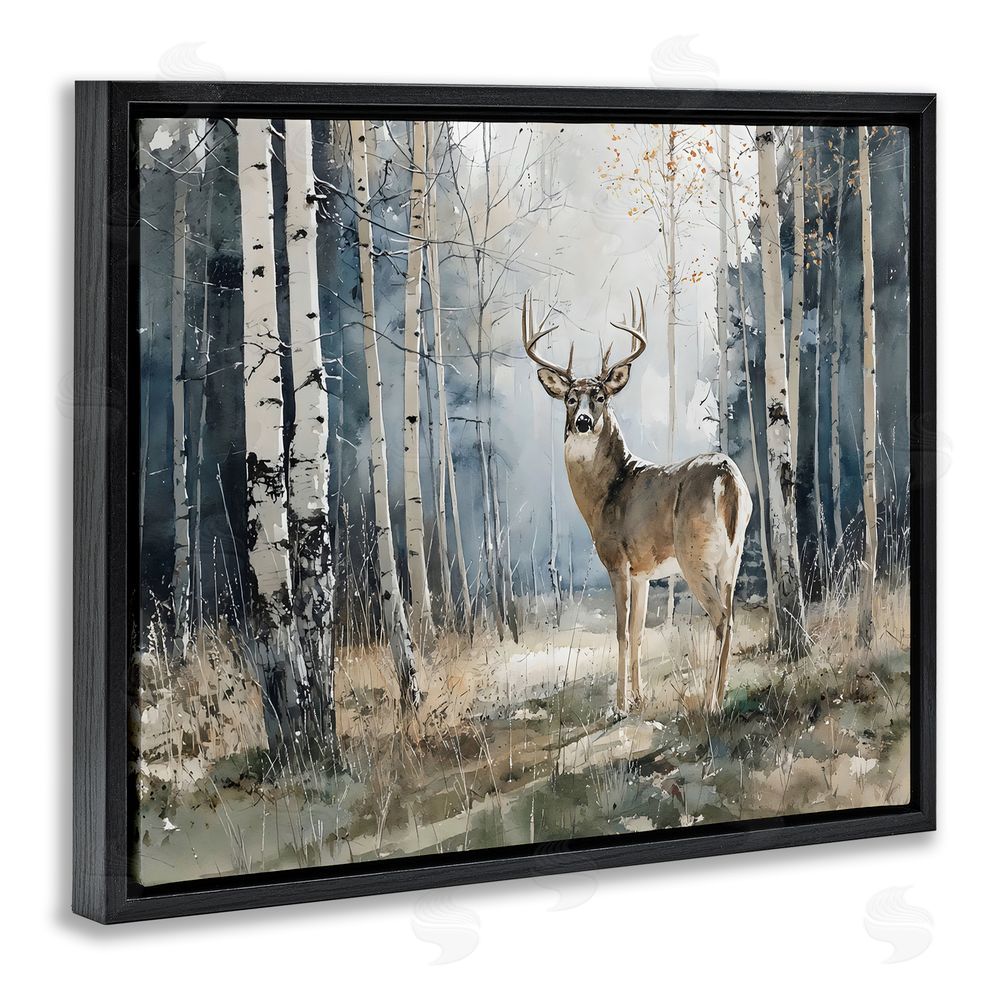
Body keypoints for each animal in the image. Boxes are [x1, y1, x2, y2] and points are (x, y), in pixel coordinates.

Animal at [523, 292, 752, 715]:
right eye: (569, 398)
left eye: (600, 396)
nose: (582, 421)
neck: (607, 493)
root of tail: (728, 477)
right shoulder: (643, 571)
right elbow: (639, 631)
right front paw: (640, 697)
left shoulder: (616, 559)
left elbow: (620, 632)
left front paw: (619, 705)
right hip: (734, 555)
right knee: (731, 615)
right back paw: (721, 695)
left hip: (694, 554)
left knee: (720, 618)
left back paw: (710, 703)